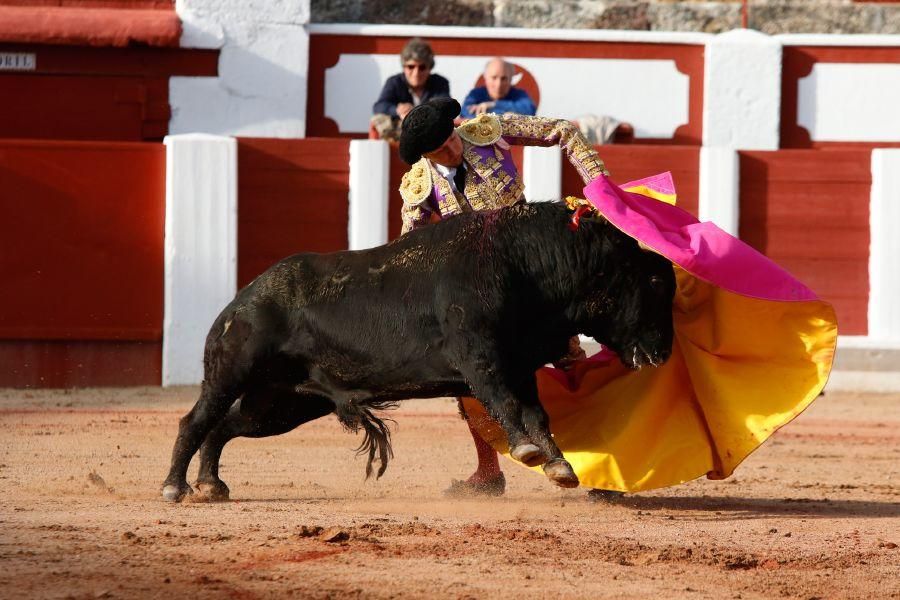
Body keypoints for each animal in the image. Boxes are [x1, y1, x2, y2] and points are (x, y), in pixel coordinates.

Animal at [162, 200, 676, 502]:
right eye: (653, 282)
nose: (665, 351)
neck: (525, 263)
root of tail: (241, 301)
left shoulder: (518, 364)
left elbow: (535, 411)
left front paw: (559, 465)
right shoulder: (480, 356)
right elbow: (507, 404)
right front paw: (531, 452)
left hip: (283, 403)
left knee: (226, 425)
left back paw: (212, 484)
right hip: (231, 373)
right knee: (196, 420)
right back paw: (174, 487)